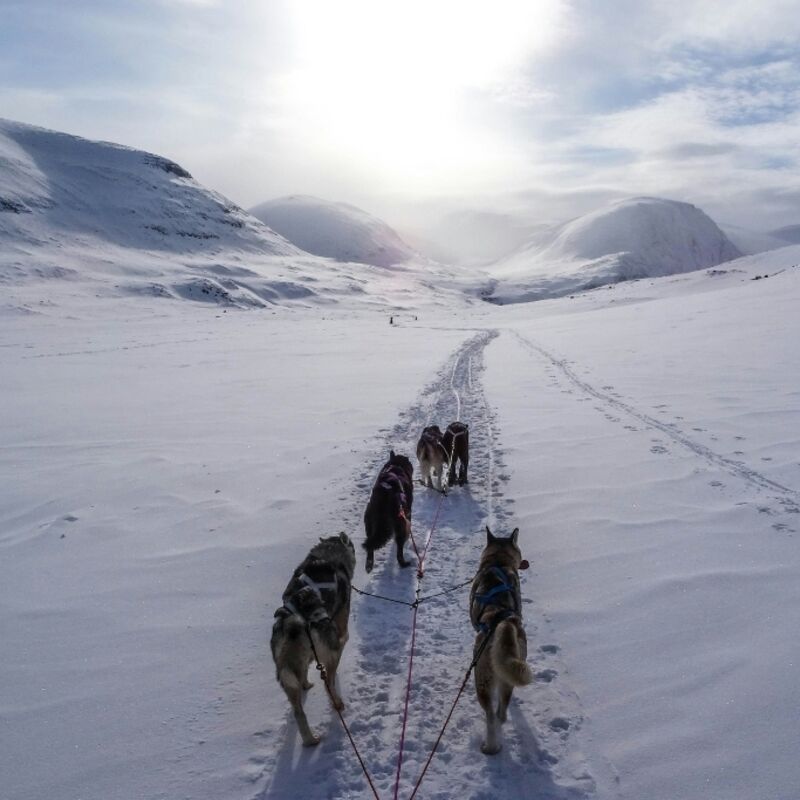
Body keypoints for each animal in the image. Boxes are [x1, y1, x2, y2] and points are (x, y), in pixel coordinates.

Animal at [270, 536, 354, 748]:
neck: (327, 555)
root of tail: (293, 621)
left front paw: (306, 683)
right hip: (331, 651)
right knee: (329, 683)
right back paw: (337, 704)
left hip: (287, 672)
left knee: (298, 711)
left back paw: (309, 739)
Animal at [468, 528, 532, 752]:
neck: (498, 562)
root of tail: (503, 622)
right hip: (510, 674)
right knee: (501, 714)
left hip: (482, 680)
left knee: (491, 716)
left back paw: (489, 746)